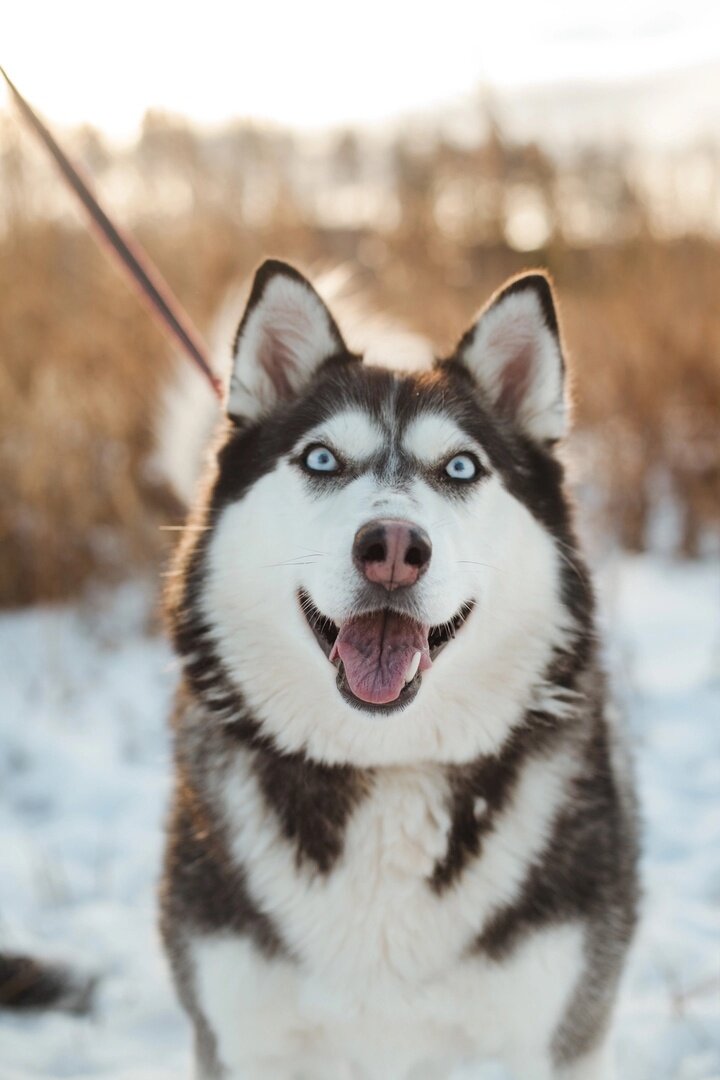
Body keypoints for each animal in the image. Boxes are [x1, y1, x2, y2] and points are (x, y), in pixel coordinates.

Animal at [161, 261, 634, 1080]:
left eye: (461, 467)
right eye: (321, 458)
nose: (391, 546)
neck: (385, 768)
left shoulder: (552, 1038)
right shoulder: (238, 1039)